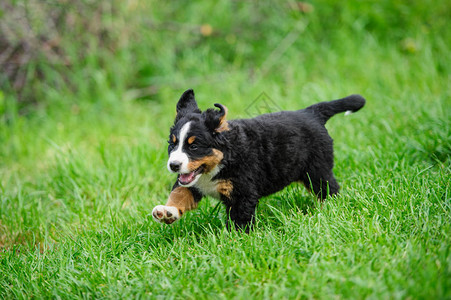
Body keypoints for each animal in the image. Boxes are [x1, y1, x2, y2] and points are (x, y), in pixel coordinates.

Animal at [151, 88, 364, 230]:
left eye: (194, 146)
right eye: (172, 144)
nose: (173, 165)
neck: (220, 163)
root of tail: (310, 113)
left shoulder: (242, 194)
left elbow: (239, 221)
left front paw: (233, 241)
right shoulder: (193, 184)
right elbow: (179, 194)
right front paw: (167, 212)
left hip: (317, 170)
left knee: (329, 189)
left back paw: (329, 210)